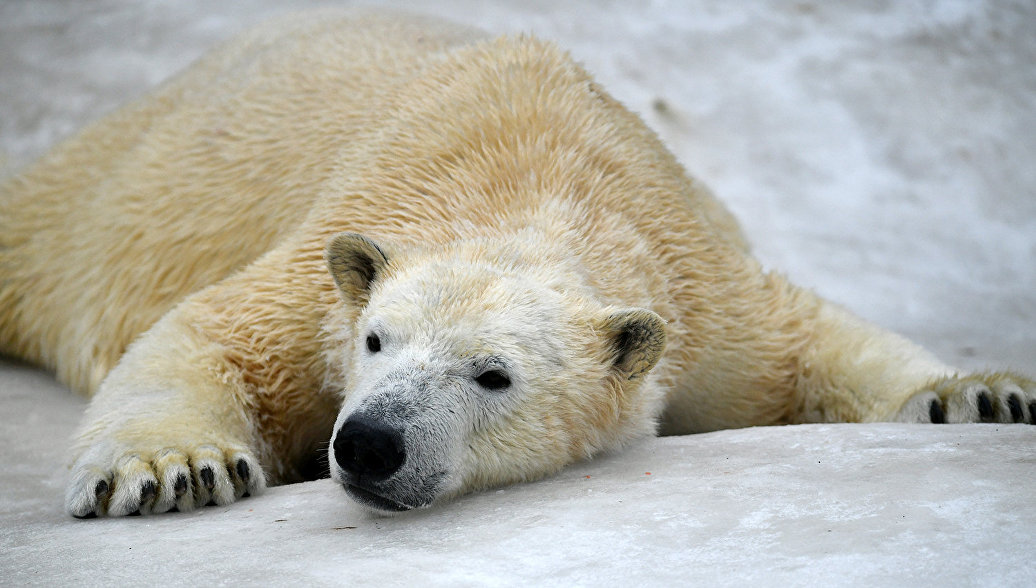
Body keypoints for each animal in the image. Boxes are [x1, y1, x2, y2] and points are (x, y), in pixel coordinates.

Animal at [0, 8, 1031, 513]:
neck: (535, 183)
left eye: (492, 375)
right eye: (376, 342)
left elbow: (806, 340)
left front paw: (979, 393)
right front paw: (176, 469)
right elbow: (212, 331)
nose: (369, 442)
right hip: (114, 179)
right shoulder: (338, 251)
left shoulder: (700, 286)